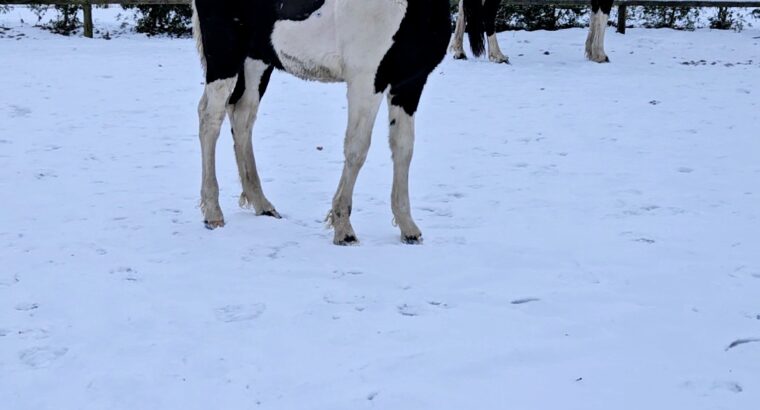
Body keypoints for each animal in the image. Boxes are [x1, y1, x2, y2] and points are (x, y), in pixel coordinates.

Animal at [191, 0, 452, 243]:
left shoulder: (409, 86)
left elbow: (403, 150)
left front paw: (408, 227)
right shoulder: (366, 81)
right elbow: (357, 149)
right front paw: (344, 229)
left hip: (256, 60)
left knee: (242, 117)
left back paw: (262, 205)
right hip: (224, 56)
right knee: (210, 119)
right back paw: (213, 213)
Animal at [448, 0, 616, 63]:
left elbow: (594, 17)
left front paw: (591, 52)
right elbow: (602, 16)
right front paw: (600, 55)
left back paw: (459, 51)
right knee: (488, 13)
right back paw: (498, 56)